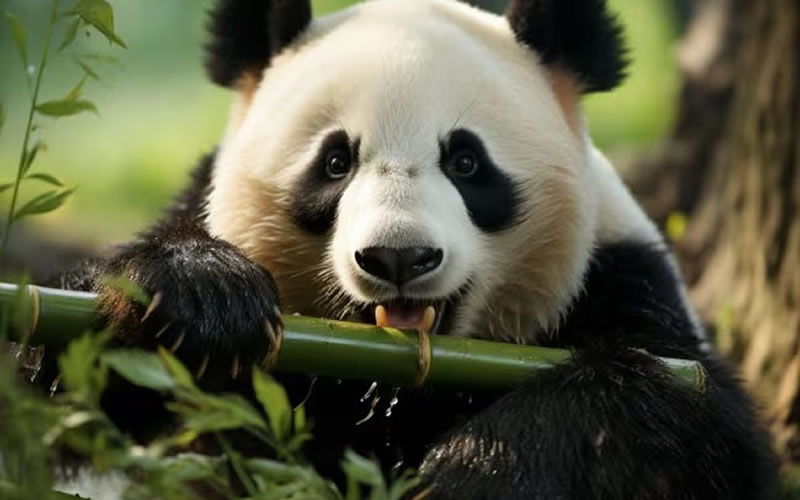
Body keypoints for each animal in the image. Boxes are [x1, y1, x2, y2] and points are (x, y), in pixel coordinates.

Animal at [53, 0, 778, 498]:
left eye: (465, 161)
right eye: (335, 162)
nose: (398, 258)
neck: (390, 387)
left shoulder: (621, 280)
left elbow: (681, 414)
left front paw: (476, 468)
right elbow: (71, 391)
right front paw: (198, 296)